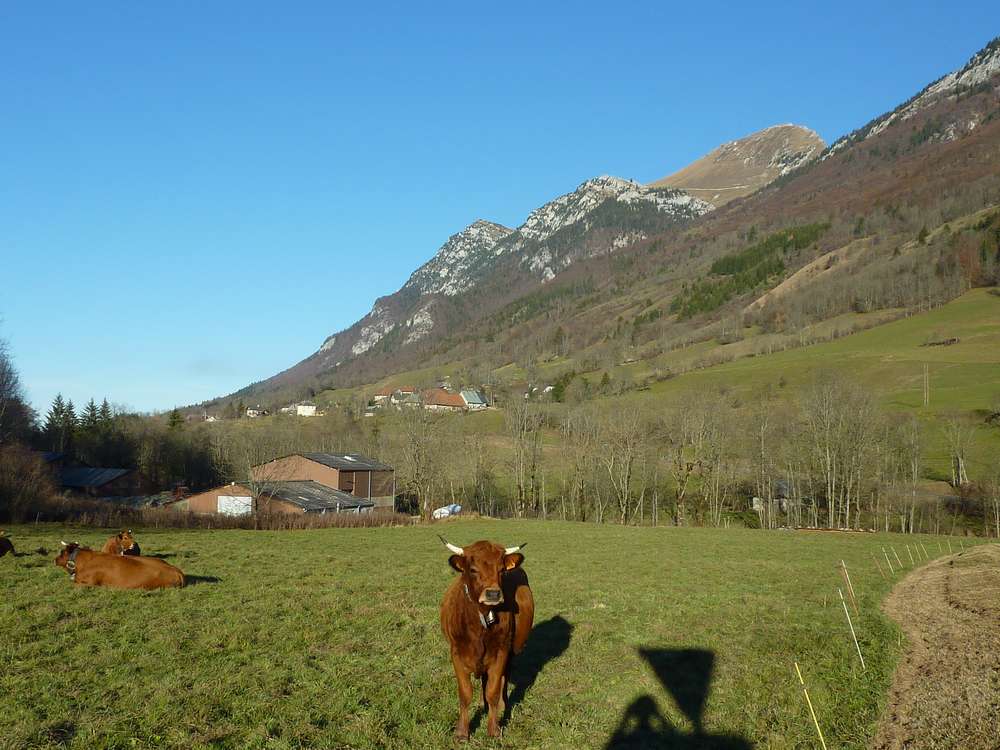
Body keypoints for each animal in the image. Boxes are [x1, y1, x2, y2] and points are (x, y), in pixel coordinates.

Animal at [439, 536, 534, 740]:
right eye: (473, 570)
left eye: (501, 570)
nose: (493, 594)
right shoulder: (456, 653)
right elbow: (465, 693)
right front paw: (462, 732)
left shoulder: (501, 652)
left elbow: (493, 690)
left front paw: (494, 729)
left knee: (502, 679)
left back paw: (502, 707)